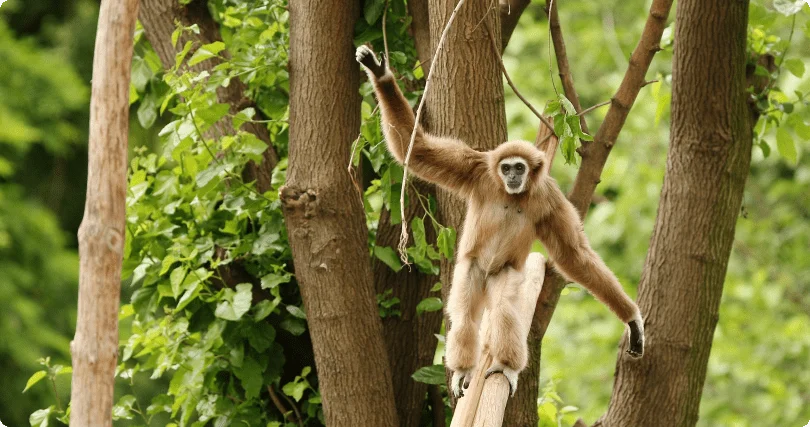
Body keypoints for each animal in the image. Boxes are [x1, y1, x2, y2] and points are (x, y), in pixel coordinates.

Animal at [355, 46, 644, 398]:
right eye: (506, 168)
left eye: (519, 168)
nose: (513, 176)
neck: (513, 194)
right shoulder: (475, 169)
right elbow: (418, 151)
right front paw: (379, 73)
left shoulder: (550, 198)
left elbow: (572, 255)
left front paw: (631, 319)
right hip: (473, 266)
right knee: (465, 315)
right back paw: (463, 368)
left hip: (502, 272)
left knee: (504, 309)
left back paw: (505, 365)